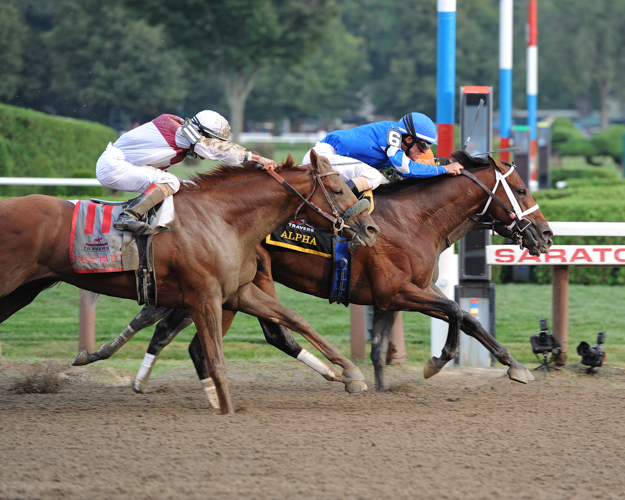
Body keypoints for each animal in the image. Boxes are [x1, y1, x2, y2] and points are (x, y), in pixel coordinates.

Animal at [0, 153, 376, 414]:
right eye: (339, 189)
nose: (371, 230)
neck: (222, 219)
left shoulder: (238, 293)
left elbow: (295, 320)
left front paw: (351, 373)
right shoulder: (203, 298)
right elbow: (214, 357)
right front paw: (227, 410)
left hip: (21, 292)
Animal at [78, 150, 552, 396]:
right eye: (522, 188)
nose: (546, 236)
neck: (415, 219)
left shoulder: (393, 295)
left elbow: (395, 339)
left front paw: (384, 383)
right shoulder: (399, 290)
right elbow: (461, 314)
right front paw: (454, 363)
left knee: (179, 328)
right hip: (237, 284)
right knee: (197, 336)